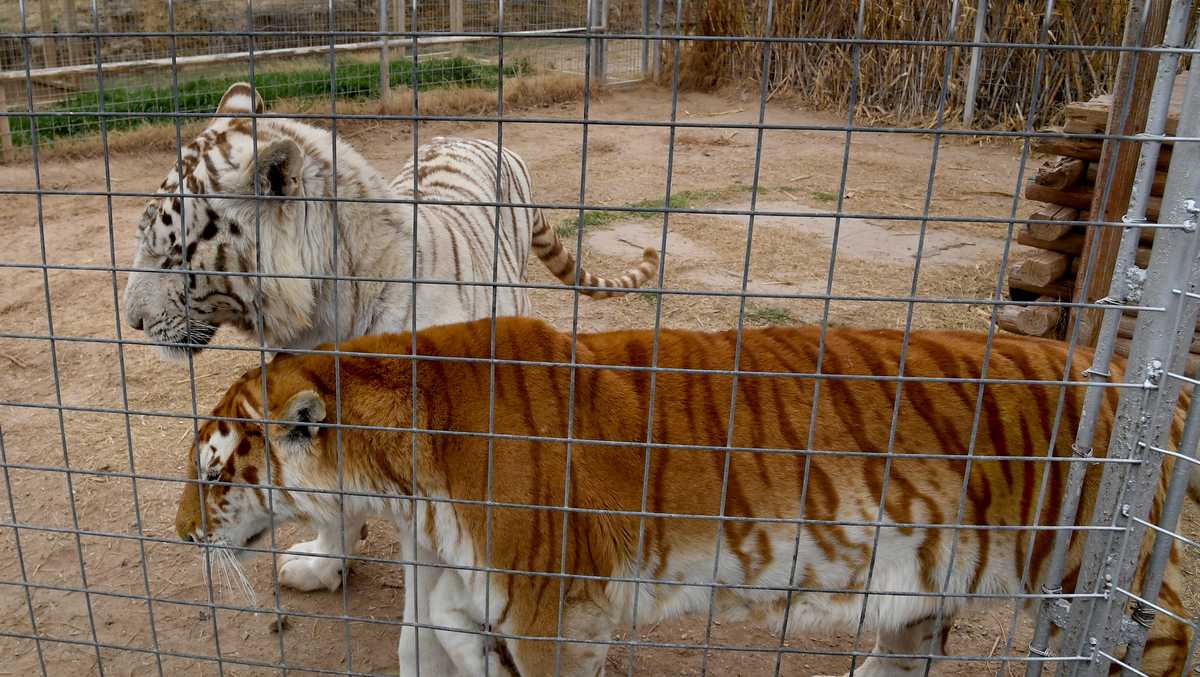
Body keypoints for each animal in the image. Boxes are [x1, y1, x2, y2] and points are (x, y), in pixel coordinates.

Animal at [174, 316, 1195, 677]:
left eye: (212, 473)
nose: (181, 533)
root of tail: (1143, 379)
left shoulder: (551, 614)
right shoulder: (474, 607)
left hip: (1103, 584)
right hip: (919, 603)